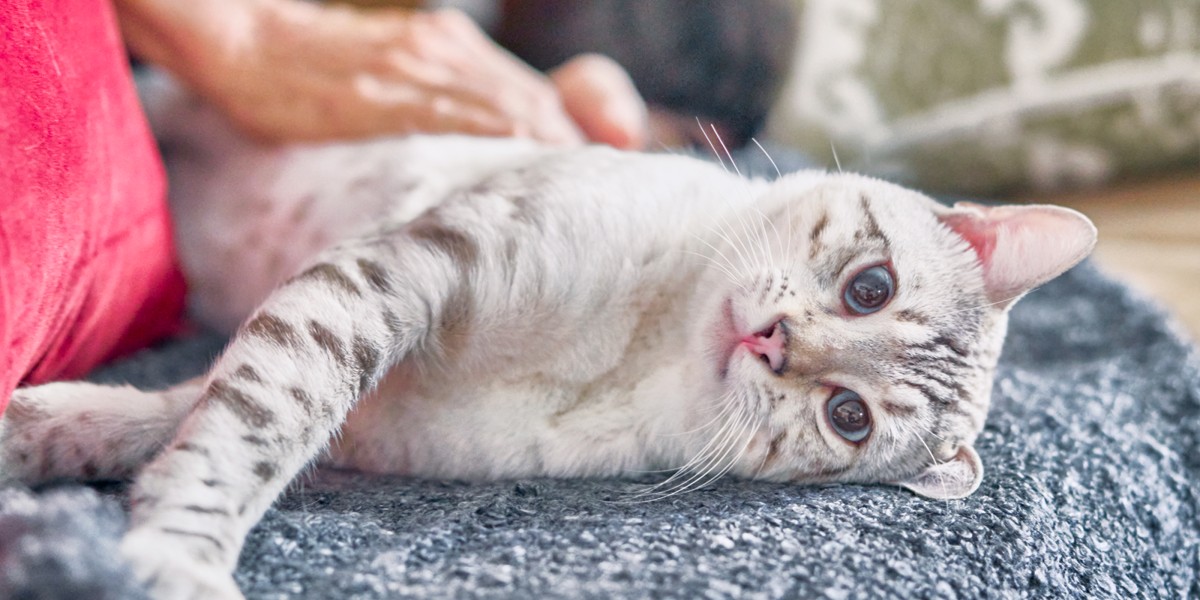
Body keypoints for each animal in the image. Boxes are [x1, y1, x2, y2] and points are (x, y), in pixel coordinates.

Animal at [0, 90, 1099, 600]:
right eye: (871, 288)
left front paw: (45, 446)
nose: (773, 343)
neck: (639, 355)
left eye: (847, 417)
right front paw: (173, 555)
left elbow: (197, 411)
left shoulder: (372, 408)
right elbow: (246, 422)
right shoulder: (399, 273)